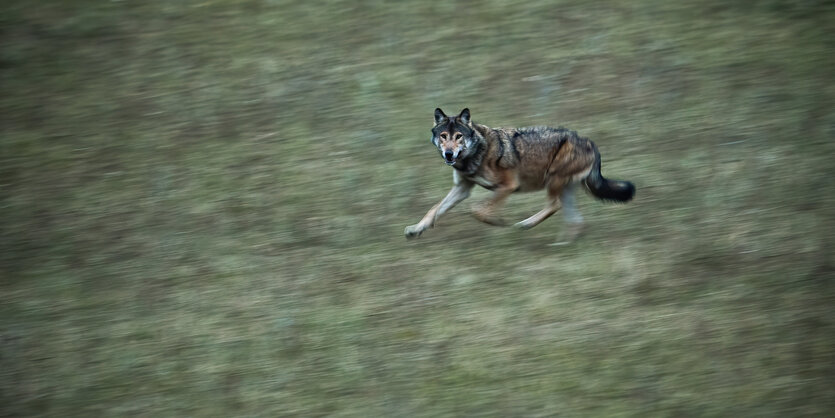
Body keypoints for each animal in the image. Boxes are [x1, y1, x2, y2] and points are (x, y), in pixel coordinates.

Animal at [404, 108, 632, 245]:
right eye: (443, 136)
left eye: (458, 136)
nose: (449, 154)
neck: (476, 154)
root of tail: (590, 142)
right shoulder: (462, 188)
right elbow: (434, 210)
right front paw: (415, 230)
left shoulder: (507, 186)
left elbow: (478, 210)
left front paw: (497, 221)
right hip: (564, 189)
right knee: (576, 221)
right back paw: (562, 244)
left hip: (553, 181)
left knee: (555, 206)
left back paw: (526, 224)